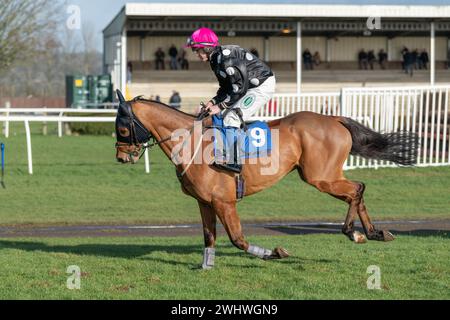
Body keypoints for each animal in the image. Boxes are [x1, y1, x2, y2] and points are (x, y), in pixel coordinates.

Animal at [115, 91, 418, 268]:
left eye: (122, 128)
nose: (121, 157)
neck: (192, 142)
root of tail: (333, 118)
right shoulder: (205, 202)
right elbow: (209, 237)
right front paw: (205, 266)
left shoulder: (224, 201)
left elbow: (238, 239)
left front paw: (275, 252)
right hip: (325, 175)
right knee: (356, 192)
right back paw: (374, 232)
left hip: (321, 177)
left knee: (357, 188)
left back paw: (353, 232)